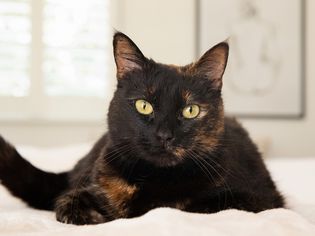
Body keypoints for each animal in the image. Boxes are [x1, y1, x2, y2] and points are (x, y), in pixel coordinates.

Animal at [0, 31, 286, 225]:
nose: (164, 135)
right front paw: (93, 215)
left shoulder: (261, 199)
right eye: (144, 106)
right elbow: (68, 202)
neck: (156, 179)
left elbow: (194, 207)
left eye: (190, 110)